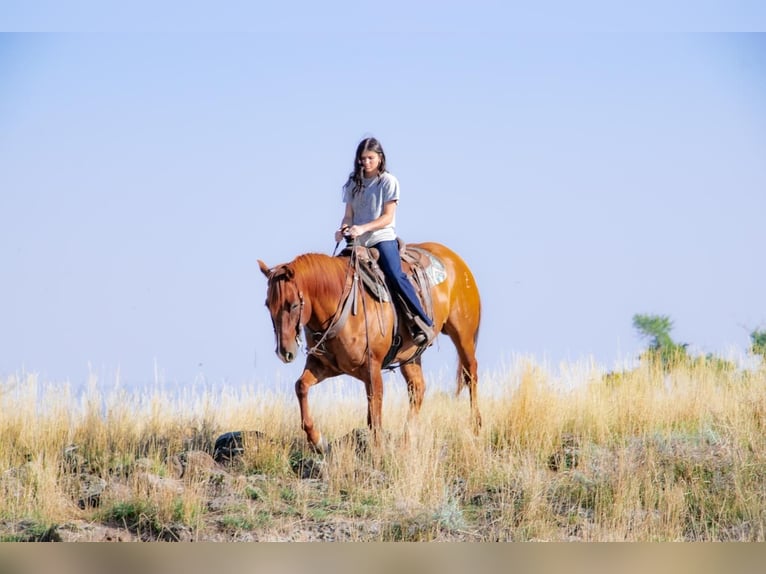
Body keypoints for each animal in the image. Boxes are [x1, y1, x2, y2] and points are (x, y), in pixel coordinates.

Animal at [260, 241, 484, 452]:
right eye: (268, 305)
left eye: (293, 305)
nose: (284, 352)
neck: (341, 305)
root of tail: (455, 260)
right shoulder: (325, 366)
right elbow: (301, 386)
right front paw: (317, 441)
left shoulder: (372, 368)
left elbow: (374, 415)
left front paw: (377, 452)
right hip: (411, 356)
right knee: (417, 388)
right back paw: (406, 441)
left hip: (462, 335)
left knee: (470, 373)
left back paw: (475, 426)